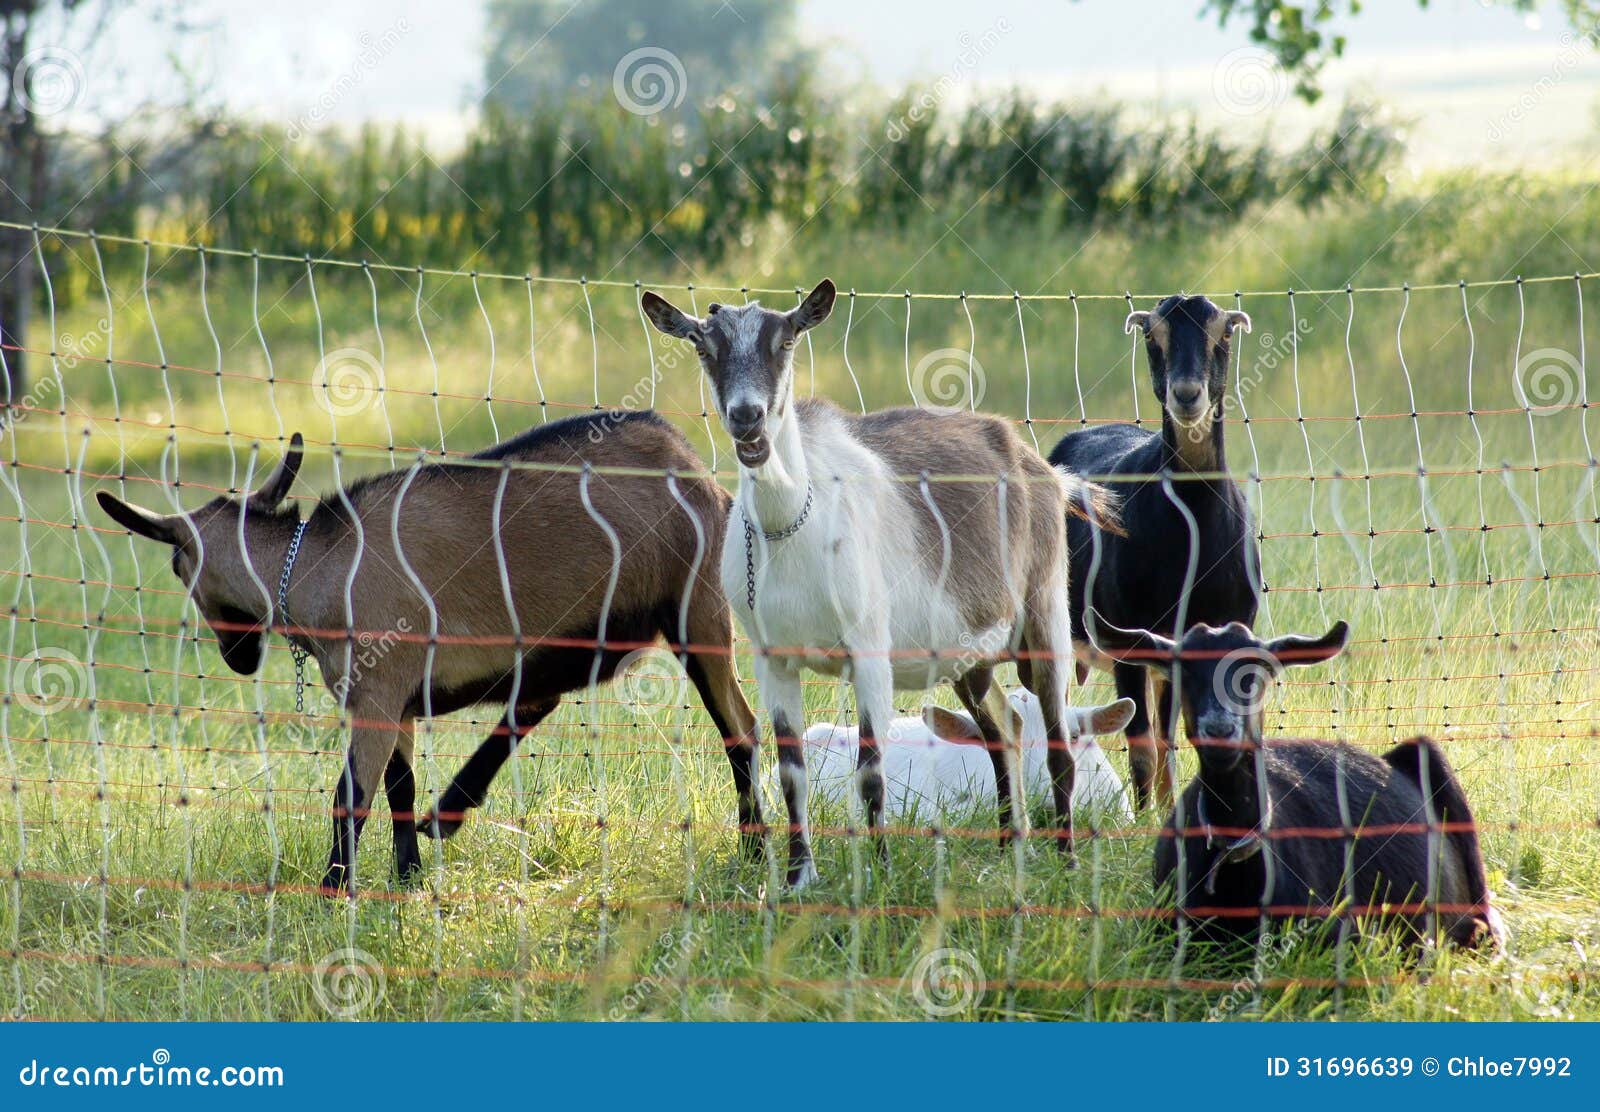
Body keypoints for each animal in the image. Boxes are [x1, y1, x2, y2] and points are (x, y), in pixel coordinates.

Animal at [96, 412, 763, 895]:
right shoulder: (399, 701)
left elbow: (349, 798)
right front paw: (408, 877)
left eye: (177, 567)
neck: (318, 569)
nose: (237, 655)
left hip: (698, 612)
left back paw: (755, 850)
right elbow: (399, 790)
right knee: (537, 699)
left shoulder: (376, 692)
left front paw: (333, 891)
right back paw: (450, 812)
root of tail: (694, 464)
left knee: (742, 728)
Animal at [1049, 294, 1260, 812]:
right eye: (1152, 335)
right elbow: (1142, 743)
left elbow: (1172, 736)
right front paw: (1143, 817)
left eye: (1224, 332)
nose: (1186, 394)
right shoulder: (1127, 639)